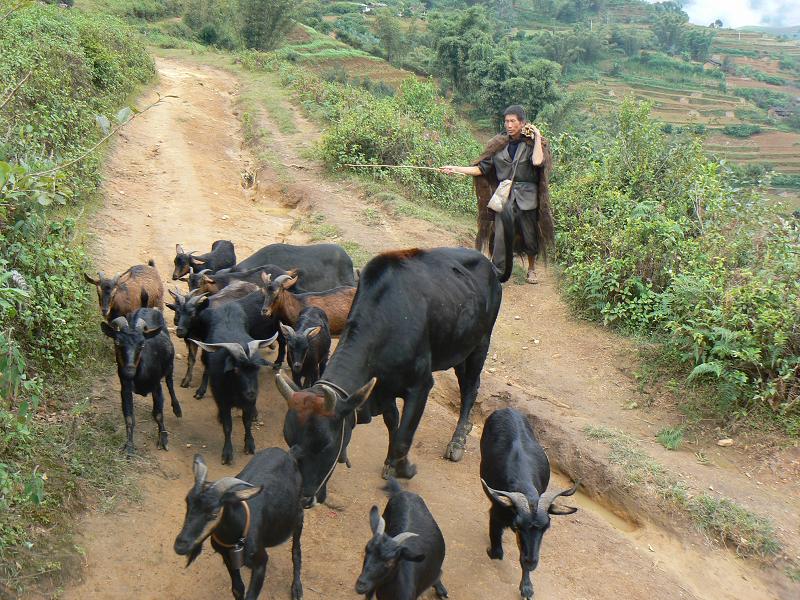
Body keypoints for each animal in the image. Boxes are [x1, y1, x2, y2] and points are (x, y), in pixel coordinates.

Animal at [101, 310, 182, 454]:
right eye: (117, 342)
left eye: (142, 344)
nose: (129, 371)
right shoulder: (125, 388)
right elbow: (129, 418)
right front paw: (129, 446)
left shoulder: (156, 386)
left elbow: (159, 415)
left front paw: (163, 439)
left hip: (169, 366)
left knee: (170, 383)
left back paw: (177, 408)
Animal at [175, 450, 304, 600]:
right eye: (187, 502)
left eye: (214, 513)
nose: (180, 546)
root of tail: (288, 453)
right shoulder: (227, 557)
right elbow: (237, 589)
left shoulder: (260, 563)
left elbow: (251, 594)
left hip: (298, 516)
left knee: (296, 550)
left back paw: (296, 588)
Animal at [191, 302, 278, 466]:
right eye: (236, 370)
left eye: (256, 368)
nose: (251, 392)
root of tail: (227, 305)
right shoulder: (223, 401)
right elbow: (227, 427)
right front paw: (227, 453)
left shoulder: (249, 403)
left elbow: (247, 422)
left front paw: (249, 444)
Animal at [276, 234, 512, 506]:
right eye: (289, 439)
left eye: (325, 444)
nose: (304, 498)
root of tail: (491, 267)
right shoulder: (382, 386)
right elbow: (394, 423)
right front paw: (391, 461)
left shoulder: (421, 386)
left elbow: (403, 437)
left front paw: (404, 468)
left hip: (478, 344)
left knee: (470, 389)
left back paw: (458, 441)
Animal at [478, 408, 580, 600]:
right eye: (517, 526)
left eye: (547, 527)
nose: (532, 562)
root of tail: (507, 409)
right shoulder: (495, 513)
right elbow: (498, 553)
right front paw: (491, 550)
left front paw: (526, 587)